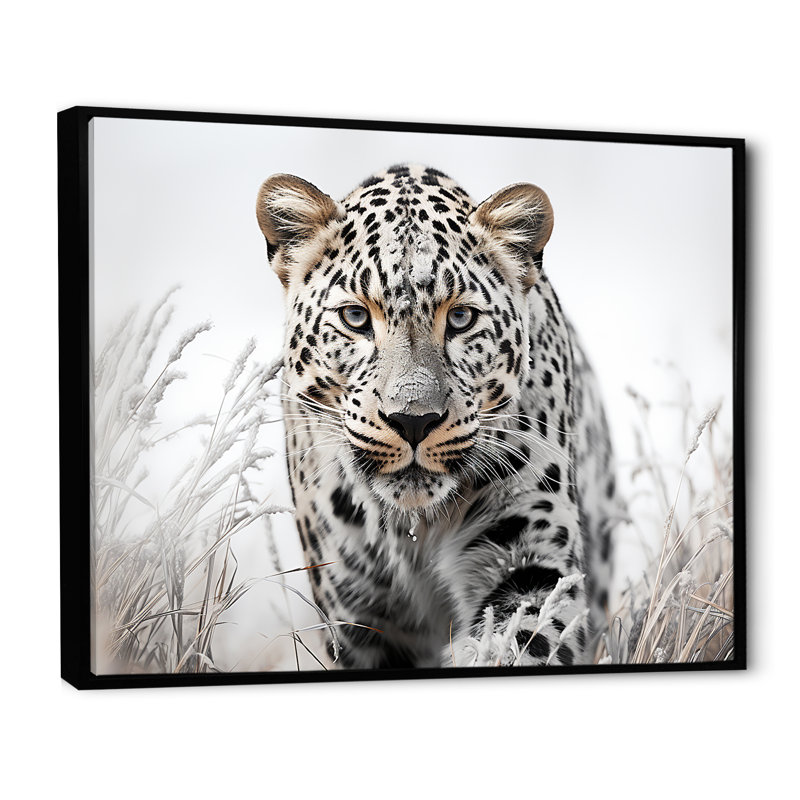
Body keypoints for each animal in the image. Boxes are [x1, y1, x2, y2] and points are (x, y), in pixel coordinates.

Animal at [256, 163, 623, 669]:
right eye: (355, 318)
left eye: (462, 319)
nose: (413, 420)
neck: (414, 531)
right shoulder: (357, 611)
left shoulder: (531, 556)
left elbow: (520, 639)